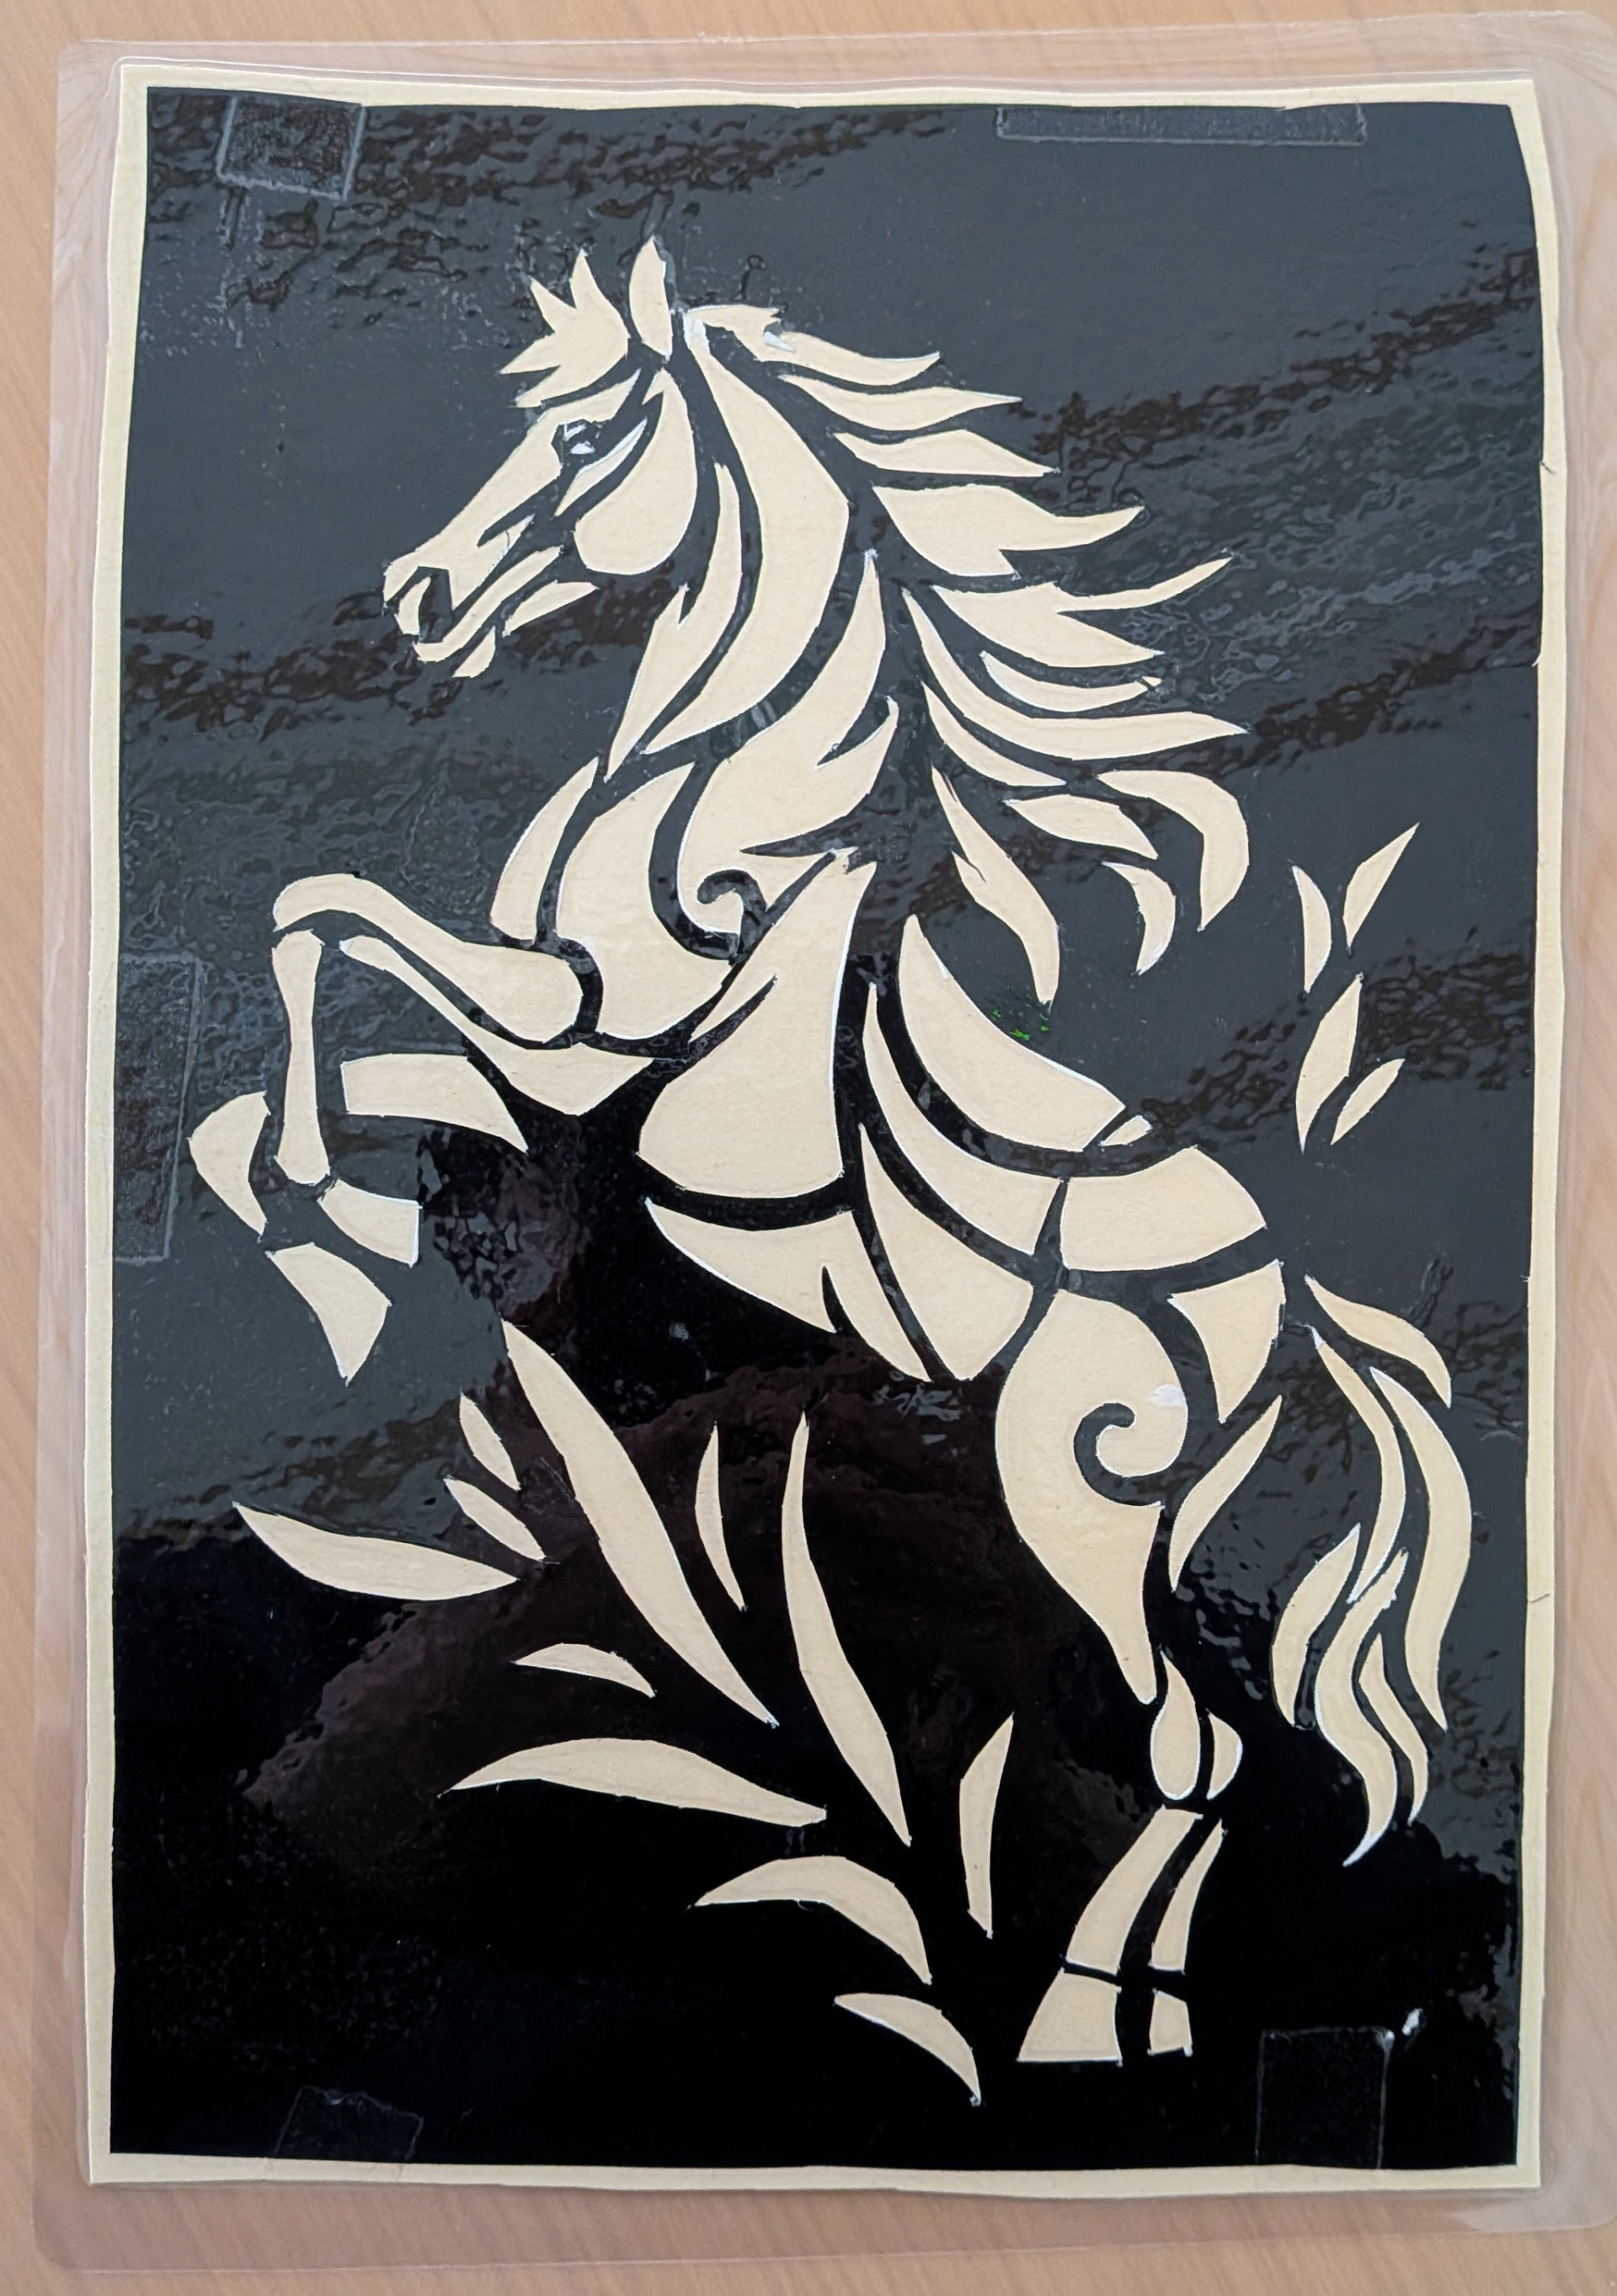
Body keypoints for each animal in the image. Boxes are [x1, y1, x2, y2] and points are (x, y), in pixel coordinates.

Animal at [186, 239, 1470, 2103]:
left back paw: (1093, 2010)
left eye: (583, 434)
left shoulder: (565, 1032)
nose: (424, 594)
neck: (692, 828)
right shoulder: (540, 1069)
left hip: (1086, 1500)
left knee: (1185, 1755)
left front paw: (327, 1209)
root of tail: (1282, 1297)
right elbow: (344, 990)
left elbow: (325, 923)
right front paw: (340, 1206)